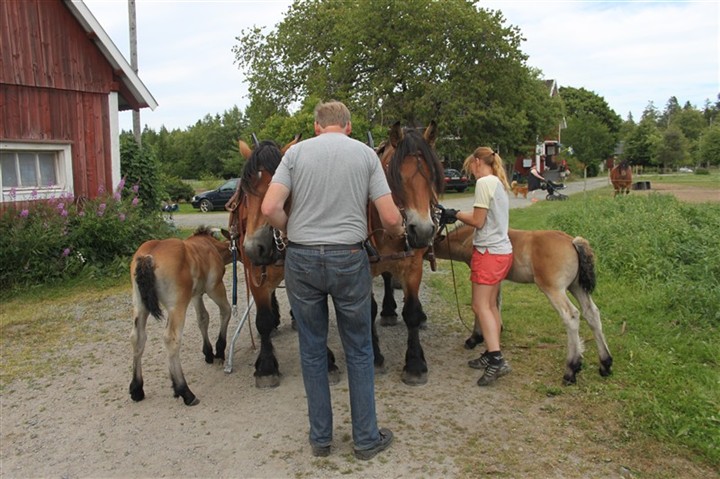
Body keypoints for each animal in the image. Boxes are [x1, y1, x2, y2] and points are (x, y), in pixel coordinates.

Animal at [128, 227, 232, 406]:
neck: (211, 246)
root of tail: (148, 258)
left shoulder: (196, 295)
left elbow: (203, 318)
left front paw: (208, 353)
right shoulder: (215, 288)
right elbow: (226, 311)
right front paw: (219, 351)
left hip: (140, 306)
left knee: (137, 338)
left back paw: (137, 389)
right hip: (177, 306)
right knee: (171, 339)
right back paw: (185, 391)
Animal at [368, 121, 448, 386]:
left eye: (433, 175)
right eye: (394, 177)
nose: (421, 230)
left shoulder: (413, 264)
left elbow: (411, 312)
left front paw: (415, 364)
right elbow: (366, 311)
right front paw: (375, 358)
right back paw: (388, 311)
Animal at [434, 225, 612, 386]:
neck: (469, 237)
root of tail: (573, 242)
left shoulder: (482, 277)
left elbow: (482, 306)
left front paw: (474, 338)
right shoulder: (496, 280)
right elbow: (495, 304)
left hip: (554, 289)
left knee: (571, 316)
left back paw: (571, 370)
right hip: (577, 287)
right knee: (591, 313)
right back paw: (605, 364)